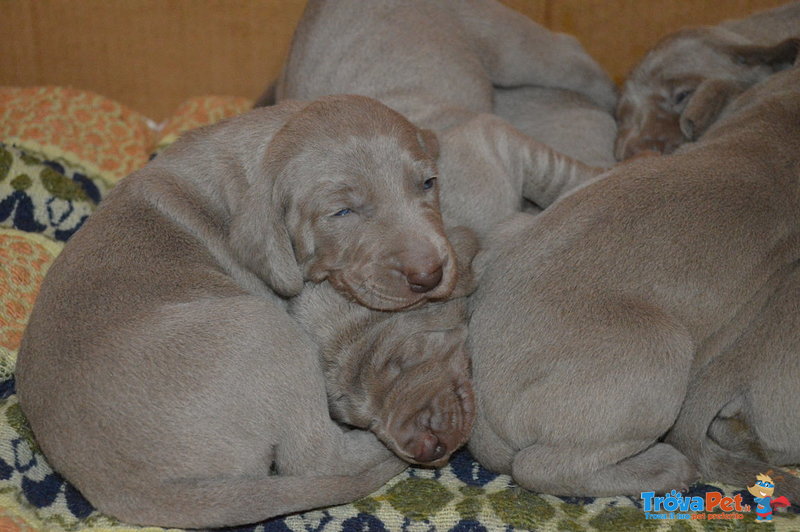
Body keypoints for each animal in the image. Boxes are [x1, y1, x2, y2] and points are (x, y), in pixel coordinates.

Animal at [14, 96, 462, 528]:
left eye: (428, 183)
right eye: (342, 213)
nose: (428, 274)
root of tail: (131, 489)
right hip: (268, 333)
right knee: (315, 458)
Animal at [466, 64, 800, 496]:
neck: (765, 138)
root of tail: (482, 404)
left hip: (512, 227)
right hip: (662, 351)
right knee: (538, 467)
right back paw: (663, 469)